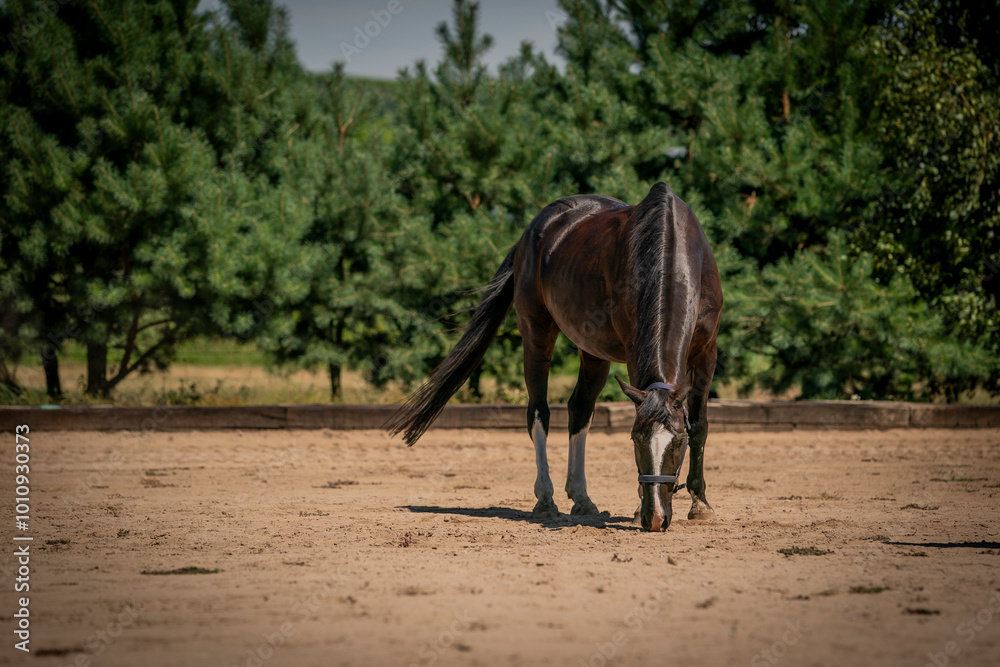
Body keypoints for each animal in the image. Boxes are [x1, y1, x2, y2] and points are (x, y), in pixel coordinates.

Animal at [386, 182, 723, 532]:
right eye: (634, 440)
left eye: (678, 442)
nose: (654, 518)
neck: (671, 253)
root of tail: (533, 230)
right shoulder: (634, 354)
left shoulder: (707, 352)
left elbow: (700, 424)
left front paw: (700, 504)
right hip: (537, 335)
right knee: (539, 413)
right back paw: (546, 499)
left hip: (592, 350)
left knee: (580, 409)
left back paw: (583, 499)